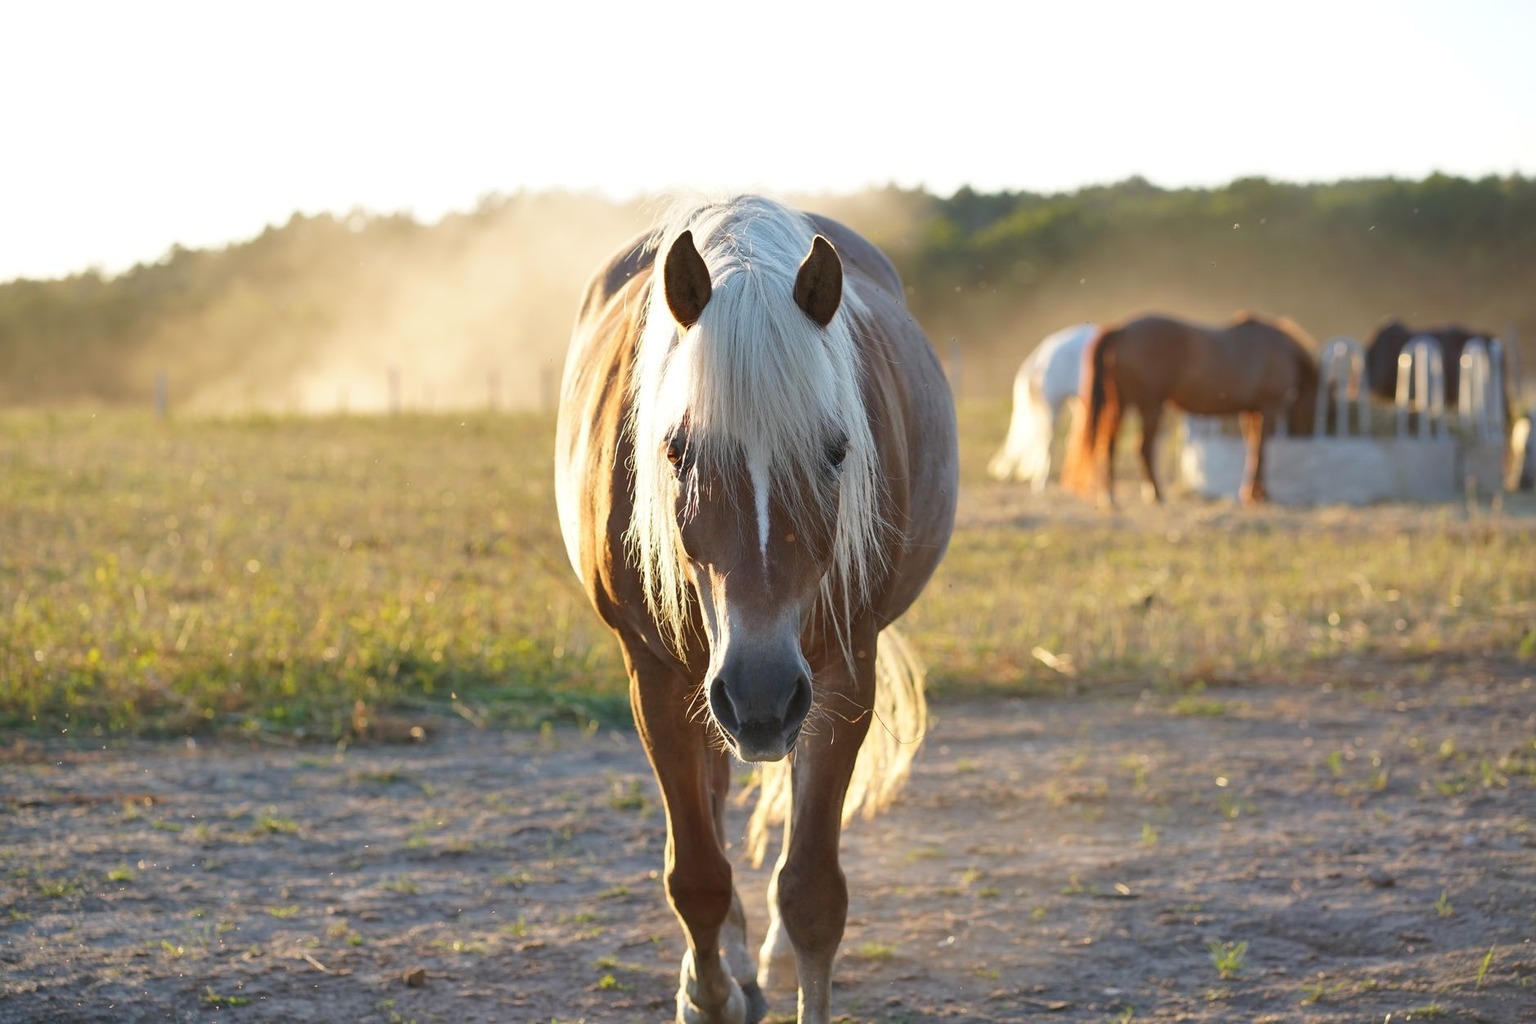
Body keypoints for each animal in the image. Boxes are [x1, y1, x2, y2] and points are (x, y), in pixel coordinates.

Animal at [554, 194, 959, 1024]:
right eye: (676, 451)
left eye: (837, 450)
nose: (761, 694)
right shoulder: (657, 677)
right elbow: (697, 876)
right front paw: (708, 995)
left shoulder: (842, 674)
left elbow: (813, 893)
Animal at [1062, 313, 1320, 505]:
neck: (1280, 349)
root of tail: (1122, 330)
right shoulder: (1268, 408)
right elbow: (1260, 452)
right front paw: (1258, 496)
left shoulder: (1251, 413)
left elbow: (1253, 448)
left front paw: (1252, 493)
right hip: (1149, 405)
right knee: (1142, 448)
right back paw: (1156, 495)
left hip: (1121, 404)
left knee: (1108, 444)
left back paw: (1110, 498)